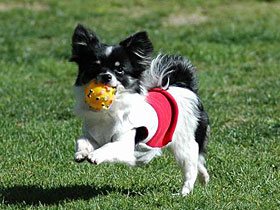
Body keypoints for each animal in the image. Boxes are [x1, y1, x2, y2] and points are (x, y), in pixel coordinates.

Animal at [70, 24, 210, 195]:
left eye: (120, 70)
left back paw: (183, 193)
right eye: (94, 66)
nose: (106, 76)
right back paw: (204, 178)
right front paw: (82, 153)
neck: (110, 109)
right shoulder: (93, 136)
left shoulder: (124, 145)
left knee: (190, 168)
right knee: (197, 161)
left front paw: (95, 156)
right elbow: (82, 140)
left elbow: (109, 146)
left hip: (184, 143)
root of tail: (185, 87)